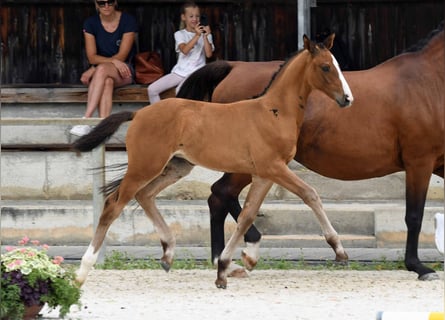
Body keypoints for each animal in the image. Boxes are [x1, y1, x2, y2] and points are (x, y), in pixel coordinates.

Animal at [72, 34, 350, 288]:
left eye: (336, 64)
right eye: (325, 66)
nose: (347, 99)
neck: (274, 112)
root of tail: (138, 113)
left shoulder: (264, 174)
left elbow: (247, 215)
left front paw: (229, 266)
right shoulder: (274, 168)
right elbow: (309, 194)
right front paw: (338, 249)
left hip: (176, 167)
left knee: (145, 195)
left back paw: (168, 253)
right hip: (145, 166)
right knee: (113, 205)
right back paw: (82, 271)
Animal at [175, 25, 442, 280]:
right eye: (326, 67)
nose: (347, 98)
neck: (428, 82)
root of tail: (233, 67)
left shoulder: (438, 162)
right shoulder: (419, 161)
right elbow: (414, 215)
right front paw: (419, 267)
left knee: (221, 196)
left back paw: (229, 260)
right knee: (221, 194)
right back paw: (236, 256)